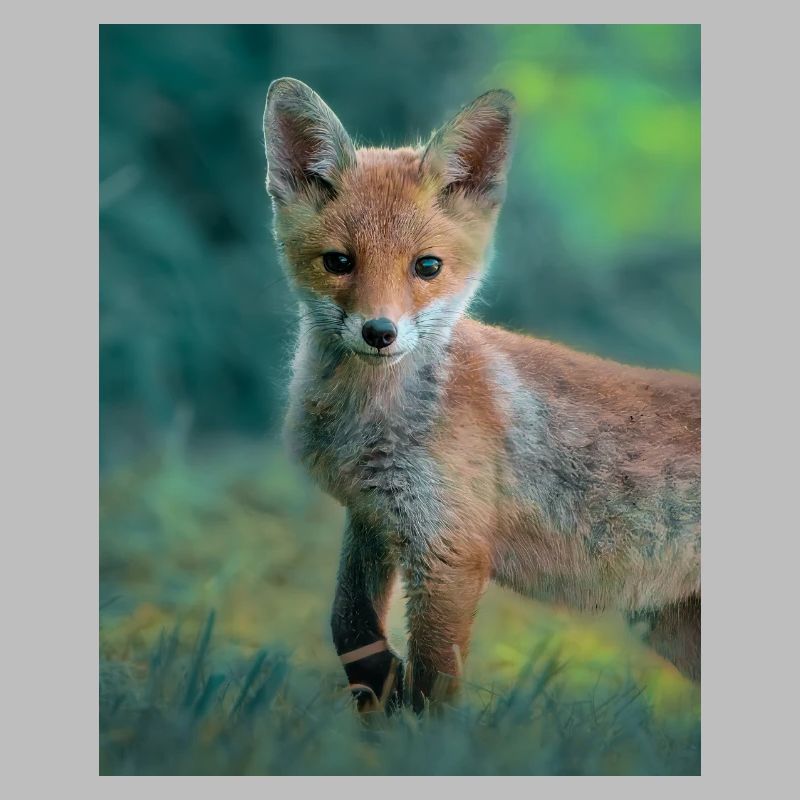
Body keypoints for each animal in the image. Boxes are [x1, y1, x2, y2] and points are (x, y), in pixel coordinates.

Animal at [262, 77, 700, 713]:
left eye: (427, 266)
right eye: (338, 262)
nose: (379, 332)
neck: (369, 425)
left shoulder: (451, 550)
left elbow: (434, 686)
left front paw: (417, 731)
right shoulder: (374, 515)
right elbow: (350, 626)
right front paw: (379, 692)